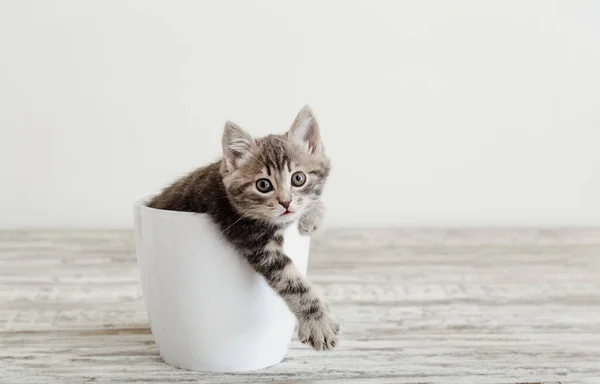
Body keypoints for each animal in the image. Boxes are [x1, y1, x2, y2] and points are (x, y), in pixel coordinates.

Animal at [148, 106, 340, 352]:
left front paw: (312, 214)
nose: (286, 202)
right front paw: (318, 321)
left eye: (299, 178)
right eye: (263, 185)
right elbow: (292, 281)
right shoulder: (254, 239)